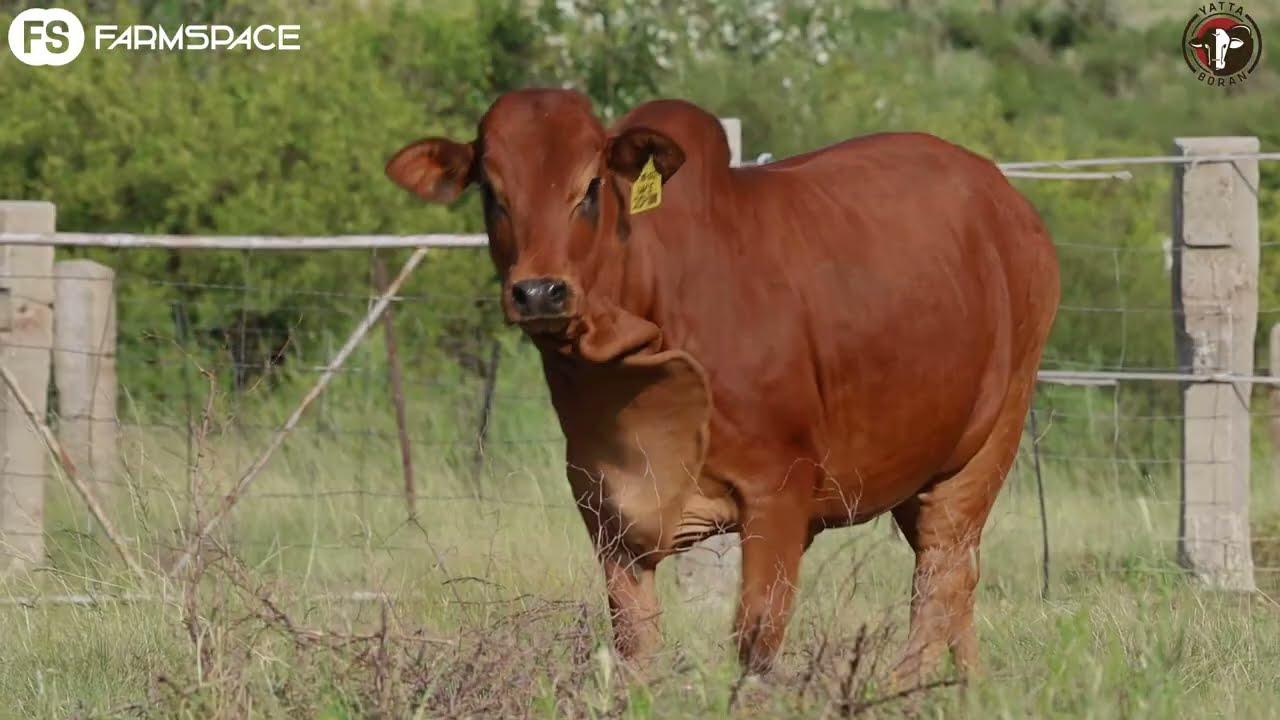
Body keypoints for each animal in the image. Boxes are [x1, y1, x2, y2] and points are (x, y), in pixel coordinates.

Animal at [385, 89, 1060, 681]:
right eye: (491, 191)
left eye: (592, 187)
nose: (539, 292)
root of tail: (1004, 196)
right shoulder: (606, 511)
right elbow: (635, 646)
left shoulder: (779, 494)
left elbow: (756, 642)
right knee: (955, 582)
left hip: (988, 444)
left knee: (941, 580)